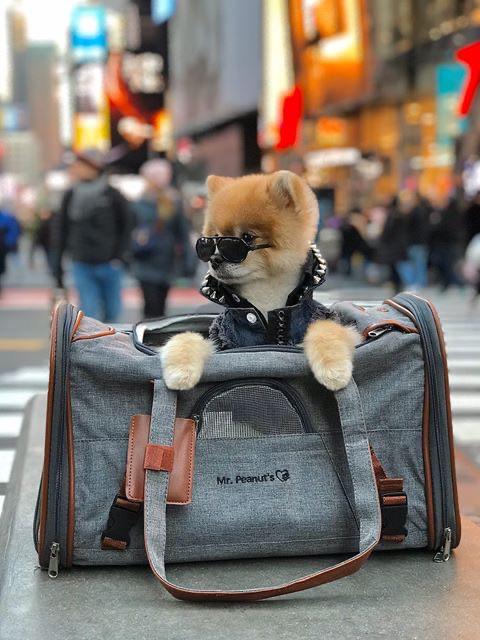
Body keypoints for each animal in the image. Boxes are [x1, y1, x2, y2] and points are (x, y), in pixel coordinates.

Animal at [161, 170, 360, 390]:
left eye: (247, 237)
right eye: (212, 240)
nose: (214, 259)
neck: (265, 299)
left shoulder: (341, 327)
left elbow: (326, 329)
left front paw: (334, 368)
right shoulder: (222, 342)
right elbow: (188, 339)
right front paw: (179, 369)